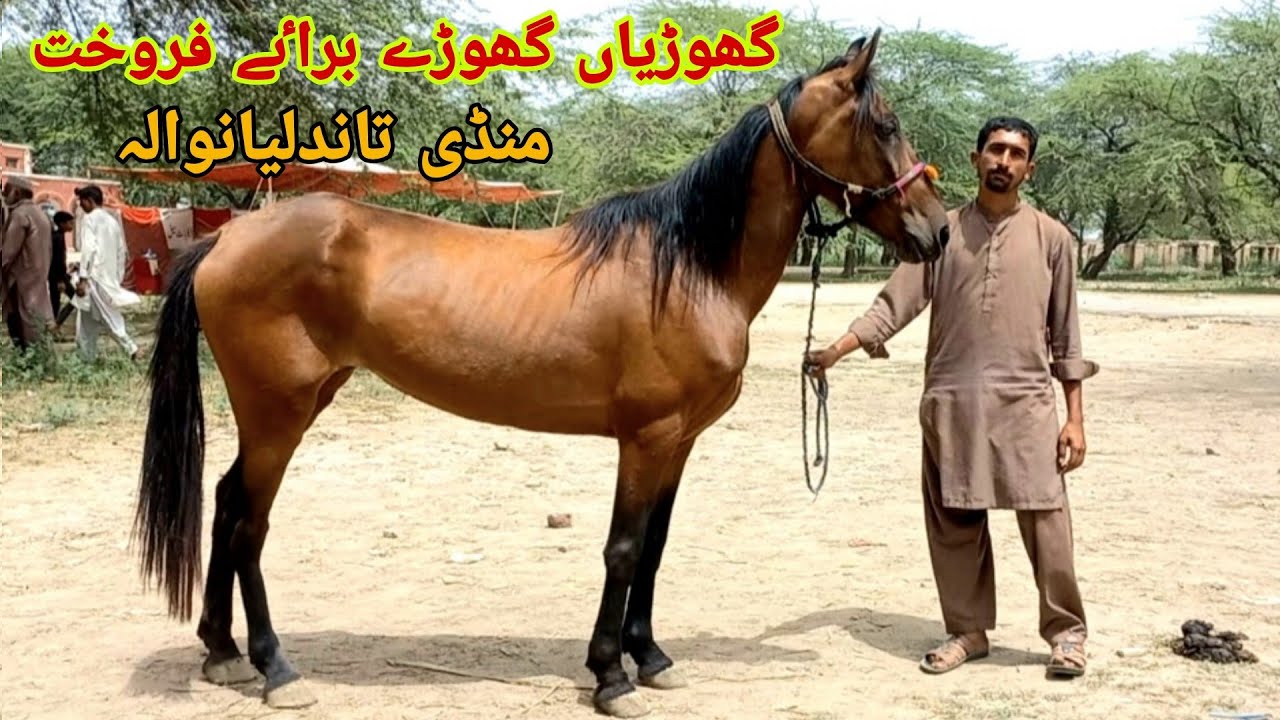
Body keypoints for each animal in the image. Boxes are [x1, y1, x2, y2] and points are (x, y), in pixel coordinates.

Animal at [133, 28, 949, 718]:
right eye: (884, 125)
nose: (937, 231)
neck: (686, 268)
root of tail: (227, 238)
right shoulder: (645, 438)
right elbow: (623, 548)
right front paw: (611, 675)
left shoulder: (680, 440)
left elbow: (655, 545)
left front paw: (651, 657)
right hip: (279, 412)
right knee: (249, 523)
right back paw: (275, 669)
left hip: (289, 406)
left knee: (227, 503)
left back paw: (222, 653)